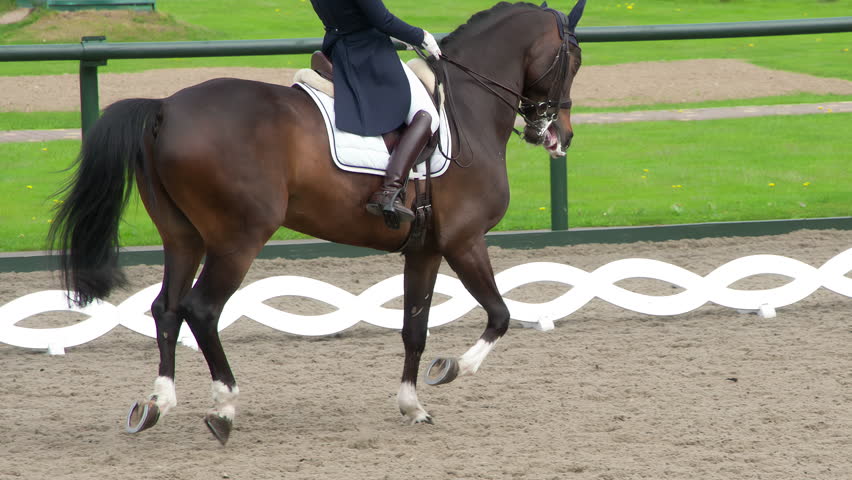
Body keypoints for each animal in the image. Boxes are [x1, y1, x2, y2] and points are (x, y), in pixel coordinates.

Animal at [48, 0, 585, 445]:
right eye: (573, 60)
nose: (559, 135)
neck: (467, 107)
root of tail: (164, 108)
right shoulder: (464, 241)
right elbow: (500, 314)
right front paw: (450, 368)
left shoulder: (426, 249)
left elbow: (415, 328)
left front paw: (412, 405)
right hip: (237, 239)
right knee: (201, 310)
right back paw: (223, 409)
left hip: (183, 237)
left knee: (166, 309)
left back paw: (157, 403)